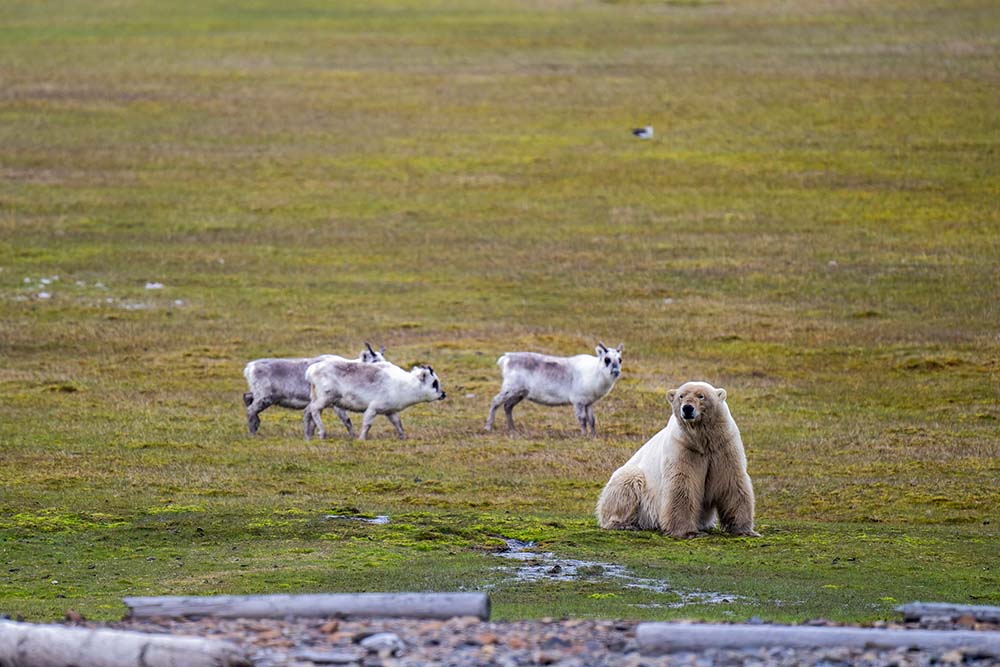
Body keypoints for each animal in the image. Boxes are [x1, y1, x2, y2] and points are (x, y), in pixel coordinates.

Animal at [592, 380, 756, 536]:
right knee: (627, 482)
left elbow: (731, 481)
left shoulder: (723, 446)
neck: (702, 440)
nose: (687, 408)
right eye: (681, 396)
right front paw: (687, 532)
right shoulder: (682, 447)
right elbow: (682, 483)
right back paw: (623, 524)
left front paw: (745, 530)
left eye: (701, 396)